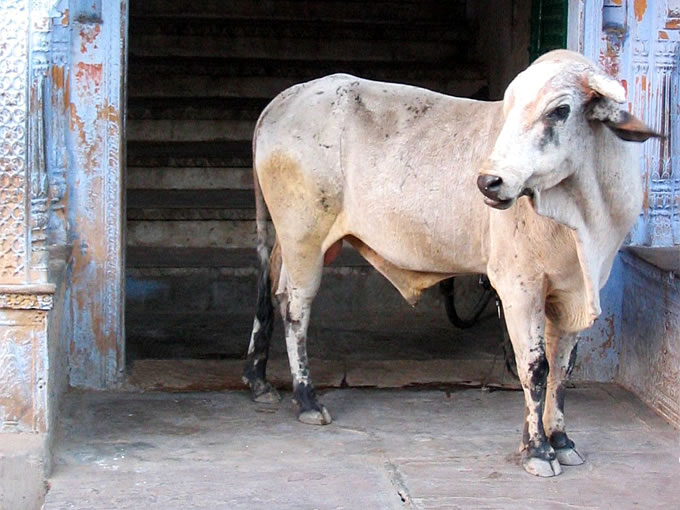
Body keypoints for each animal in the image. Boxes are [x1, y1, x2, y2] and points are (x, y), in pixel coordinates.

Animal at [240, 49, 660, 476]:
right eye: (510, 107)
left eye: (561, 110)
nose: (489, 182)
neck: (583, 217)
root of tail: (287, 98)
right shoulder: (519, 287)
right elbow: (536, 367)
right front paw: (538, 450)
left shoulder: (574, 291)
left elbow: (562, 368)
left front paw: (561, 440)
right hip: (304, 238)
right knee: (295, 307)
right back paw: (307, 399)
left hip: (290, 242)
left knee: (269, 291)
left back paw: (259, 380)